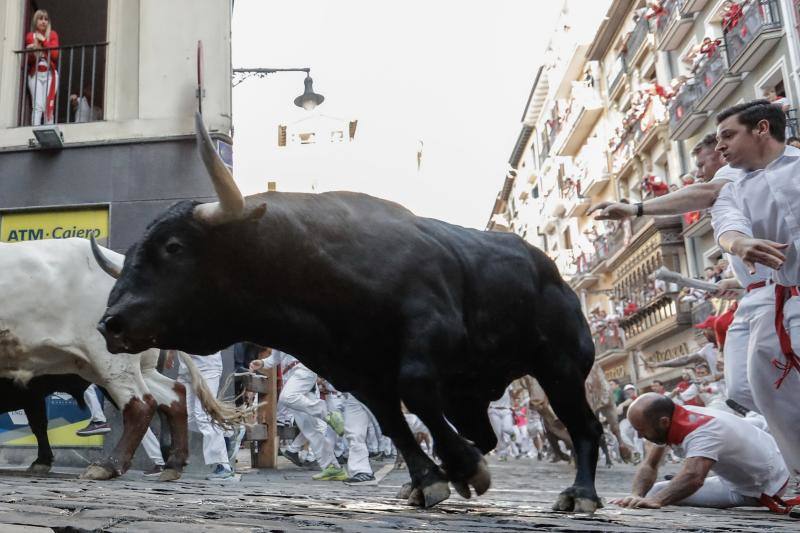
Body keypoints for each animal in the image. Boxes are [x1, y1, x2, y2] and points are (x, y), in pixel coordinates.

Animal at [94, 113, 604, 512]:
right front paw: (431, 479)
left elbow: (414, 389)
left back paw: (580, 494)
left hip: (561, 367)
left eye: (173, 247)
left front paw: (460, 470)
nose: (109, 323)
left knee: (585, 426)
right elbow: (395, 423)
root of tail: (550, 272)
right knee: (486, 431)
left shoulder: (428, 331)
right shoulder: (355, 371)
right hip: (472, 392)